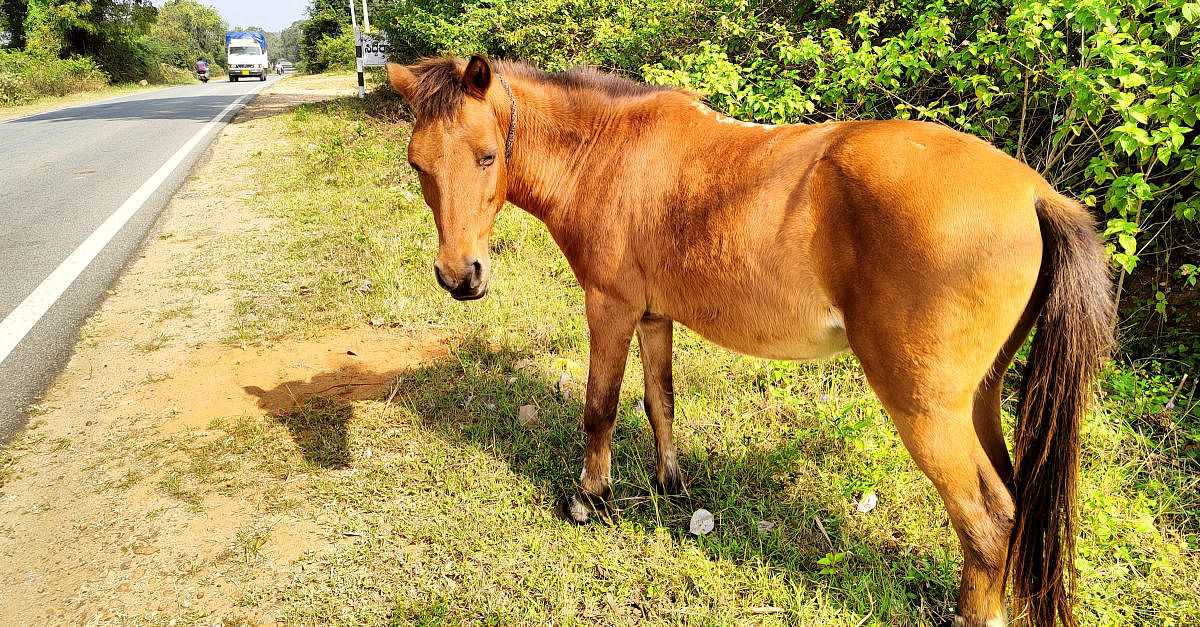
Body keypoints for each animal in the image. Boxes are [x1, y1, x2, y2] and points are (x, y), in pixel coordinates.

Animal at [384, 56, 1113, 619]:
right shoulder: (653, 315)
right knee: (1015, 505)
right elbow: (659, 399)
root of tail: (1037, 194)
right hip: (980, 399)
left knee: (988, 522)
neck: (608, 151)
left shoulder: (611, 307)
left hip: (927, 409)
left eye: (486, 156)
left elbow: (600, 406)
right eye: (418, 164)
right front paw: (669, 482)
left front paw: (591, 497)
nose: (459, 276)